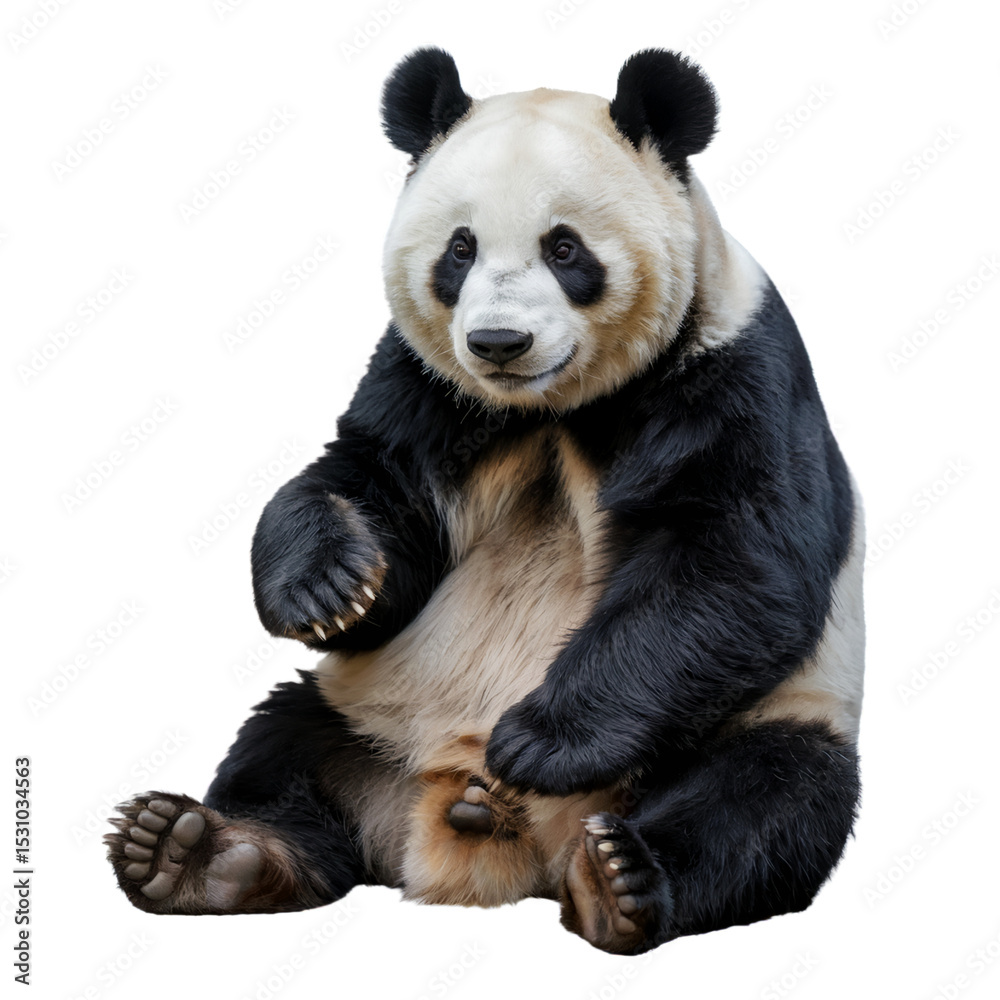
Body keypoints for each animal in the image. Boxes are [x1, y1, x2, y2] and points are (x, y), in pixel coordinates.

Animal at [106, 47, 865, 956]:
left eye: (565, 248)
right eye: (459, 250)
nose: (499, 342)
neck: (552, 408)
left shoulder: (733, 366)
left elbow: (733, 560)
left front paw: (541, 743)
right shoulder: (427, 384)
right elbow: (370, 479)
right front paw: (326, 586)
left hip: (770, 713)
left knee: (770, 795)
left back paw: (619, 880)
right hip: (365, 709)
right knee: (280, 745)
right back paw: (201, 853)